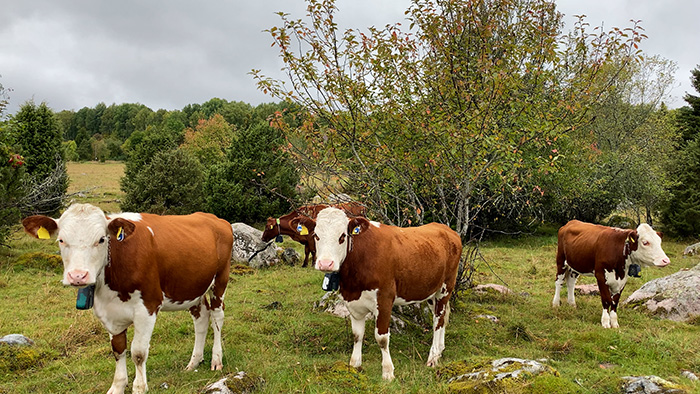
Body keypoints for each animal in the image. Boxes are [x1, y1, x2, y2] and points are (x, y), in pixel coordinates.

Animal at [21, 203, 234, 394]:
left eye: (101, 239)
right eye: (61, 240)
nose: (78, 276)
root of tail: (214, 218)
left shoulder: (148, 306)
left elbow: (138, 353)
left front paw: (139, 387)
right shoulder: (108, 312)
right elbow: (118, 349)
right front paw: (117, 386)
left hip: (220, 280)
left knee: (217, 317)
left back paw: (216, 359)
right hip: (192, 288)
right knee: (201, 318)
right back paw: (194, 362)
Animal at [292, 208, 464, 380]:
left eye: (342, 236)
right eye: (316, 235)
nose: (325, 263)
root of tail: (446, 229)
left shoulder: (384, 299)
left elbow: (381, 338)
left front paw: (388, 372)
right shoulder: (352, 301)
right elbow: (357, 335)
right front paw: (354, 365)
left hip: (445, 287)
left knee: (438, 321)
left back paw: (433, 357)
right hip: (431, 291)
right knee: (440, 318)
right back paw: (440, 350)